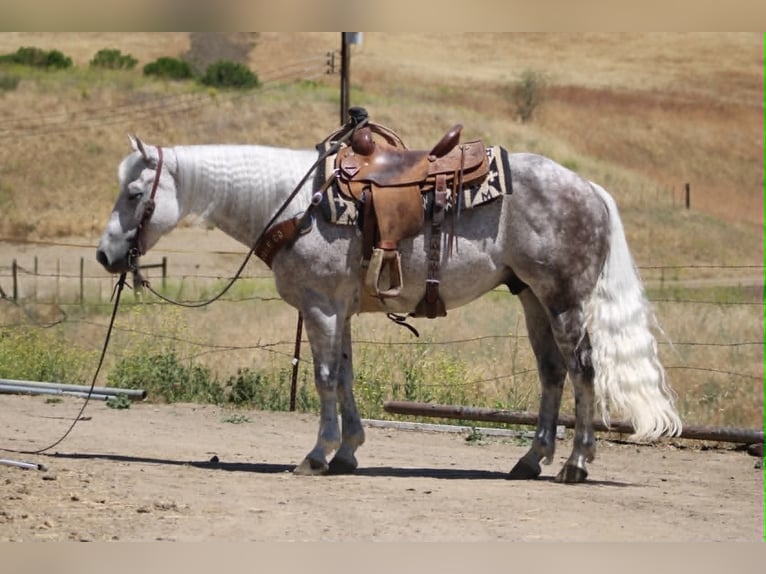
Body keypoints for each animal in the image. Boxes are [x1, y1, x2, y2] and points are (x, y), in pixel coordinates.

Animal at [96, 132, 682, 483]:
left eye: (133, 193)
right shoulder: (340, 309)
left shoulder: (320, 307)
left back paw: (577, 464)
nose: (104, 255)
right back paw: (530, 459)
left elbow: (324, 379)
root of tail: (589, 188)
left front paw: (318, 455)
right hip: (534, 299)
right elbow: (346, 376)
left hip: (562, 300)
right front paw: (348, 452)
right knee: (552, 373)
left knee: (583, 371)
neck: (297, 204)